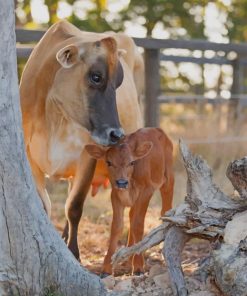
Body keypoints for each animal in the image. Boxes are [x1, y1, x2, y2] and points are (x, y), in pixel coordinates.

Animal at [19, 20, 143, 260]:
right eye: (96, 76)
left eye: (119, 82)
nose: (117, 134)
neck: (54, 117)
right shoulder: (29, 157)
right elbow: (45, 205)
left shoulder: (87, 155)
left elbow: (74, 207)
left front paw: (74, 254)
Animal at [86, 127, 175, 276]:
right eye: (108, 162)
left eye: (132, 162)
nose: (122, 182)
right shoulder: (115, 195)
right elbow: (117, 226)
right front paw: (106, 268)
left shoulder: (146, 191)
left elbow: (138, 225)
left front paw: (138, 266)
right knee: (132, 215)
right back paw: (128, 259)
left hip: (168, 179)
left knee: (165, 210)